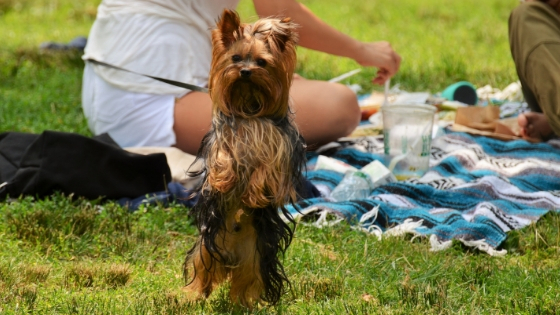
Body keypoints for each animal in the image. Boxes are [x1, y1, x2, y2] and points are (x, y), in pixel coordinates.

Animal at [183, 8, 306, 308]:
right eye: (236, 58)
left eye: (262, 62)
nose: (246, 71)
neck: (249, 109)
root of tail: (229, 256)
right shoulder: (222, 139)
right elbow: (224, 158)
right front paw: (224, 179)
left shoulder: (280, 148)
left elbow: (267, 168)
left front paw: (254, 194)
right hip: (207, 245)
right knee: (201, 268)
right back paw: (193, 295)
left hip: (257, 254)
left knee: (249, 279)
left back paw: (246, 302)